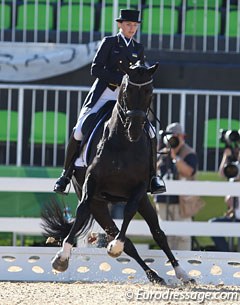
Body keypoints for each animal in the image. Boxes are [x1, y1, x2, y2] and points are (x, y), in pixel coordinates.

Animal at [42, 60, 193, 284]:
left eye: (149, 91)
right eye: (127, 90)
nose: (134, 130)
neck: (123, 143)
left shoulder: (139, 189)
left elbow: (129, 211)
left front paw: (115, 246)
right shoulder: (91, 185)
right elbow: (81, 211)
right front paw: (62, 257)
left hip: (144, 201)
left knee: (158, 234)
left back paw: (180, 273)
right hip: (99, 204)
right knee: (124, 238)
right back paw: (154, 274)